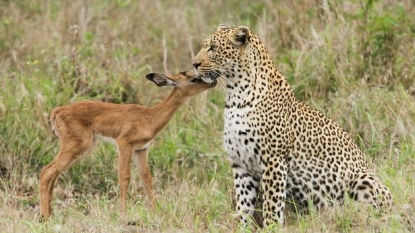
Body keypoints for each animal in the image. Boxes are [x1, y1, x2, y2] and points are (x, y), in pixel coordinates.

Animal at [192, 25, 394, 228]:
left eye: (213, 48)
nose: (194, 64)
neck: (235, 95)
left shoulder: (273, 161)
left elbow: (271, 205)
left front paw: (271, 229)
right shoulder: (240, 165)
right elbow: (244, 205)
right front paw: (244, 228)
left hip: (364, 179)